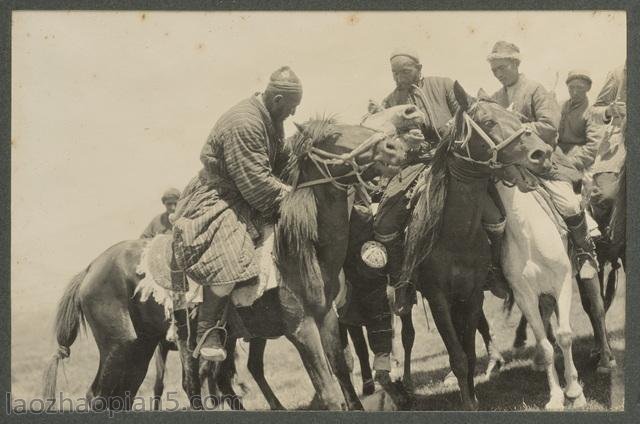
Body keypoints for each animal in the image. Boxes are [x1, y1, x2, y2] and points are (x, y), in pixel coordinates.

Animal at [42, 105, 422, 410]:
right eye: (333, 137)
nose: (396, 147)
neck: (302, 249)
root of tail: (90, 268)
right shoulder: (300, 327)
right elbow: (329, 392)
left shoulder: (327, 317)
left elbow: (344, 375)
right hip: (121, 347)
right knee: (101, 397)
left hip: (141, 347)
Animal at [400, 80, 556, 410]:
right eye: (488, 121)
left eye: (518, 118)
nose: (541, 153)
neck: (455, 236)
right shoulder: (437, 297)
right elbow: (457, 356)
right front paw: (467, 402)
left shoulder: (471, 294)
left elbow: (469, 353)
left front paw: (472, 396)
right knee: (407, 333)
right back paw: (406, 384)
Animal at [498, 181, 588, 410]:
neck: (526, 230)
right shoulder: (524, 296)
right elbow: (545, 345)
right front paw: (556, 397)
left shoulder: (562, 282)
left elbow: (564, 336)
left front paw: (574, 392)